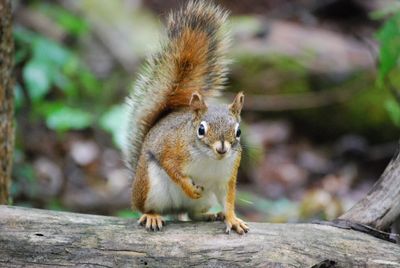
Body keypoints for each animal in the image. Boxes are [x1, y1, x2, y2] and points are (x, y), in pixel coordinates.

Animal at [126, 0, 248, 234]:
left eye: (238, 131)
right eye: (201, 129)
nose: (222, 148)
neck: (209, 159)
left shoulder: (227, 175)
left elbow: (228, 200)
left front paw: (232, 218)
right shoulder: (171, 148)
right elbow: (172, 168)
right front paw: (189, 188)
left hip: (206, 199)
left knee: (192, 214)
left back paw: (211, 215)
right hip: (149, 185)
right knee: (144, 207)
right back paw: (151, 215)